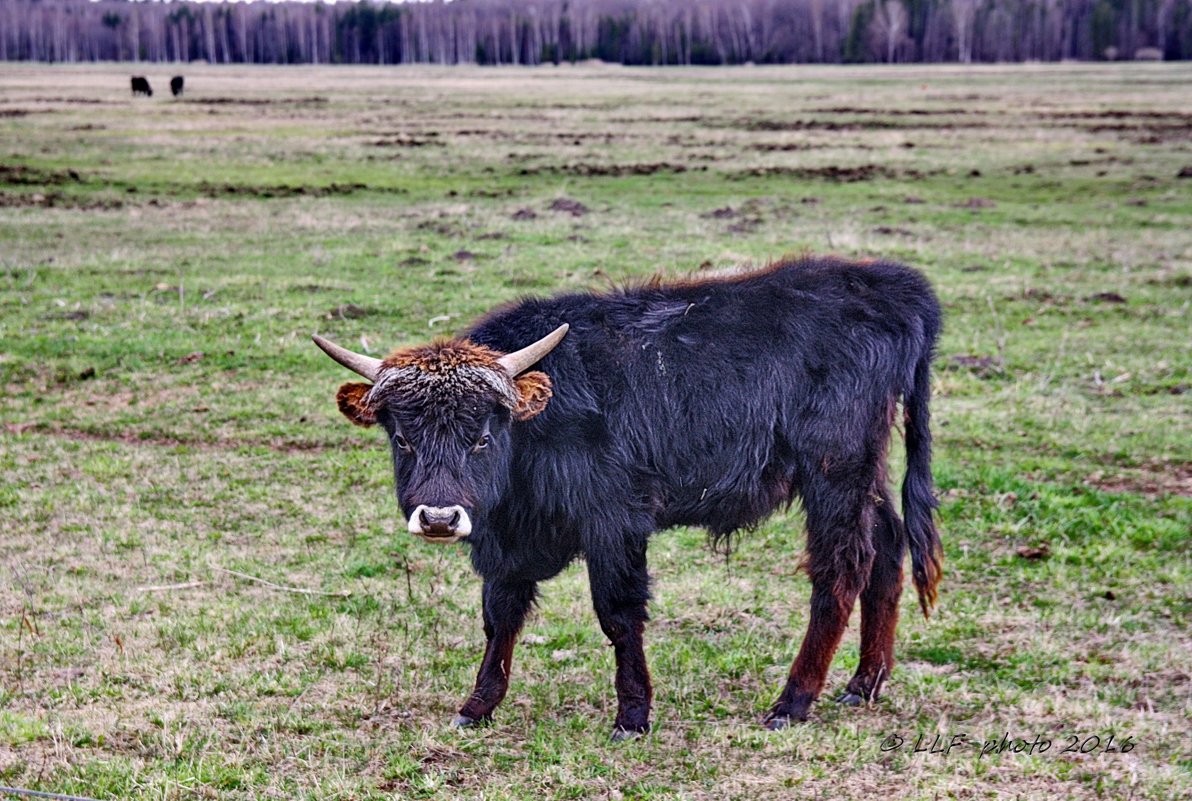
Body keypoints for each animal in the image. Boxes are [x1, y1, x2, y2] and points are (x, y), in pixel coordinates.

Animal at [314, 256, 939, 739]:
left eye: (483, 436)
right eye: (402, 437)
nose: (440, 518)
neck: (539, 423)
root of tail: (893, 288)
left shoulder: (614, 524)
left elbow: (617, 614)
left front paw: (633, 715)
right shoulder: (508, 545)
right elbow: (500, 616)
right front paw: (477, 706)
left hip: (834, 474)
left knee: (841, 568)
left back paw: (793, 701)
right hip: (865, 473)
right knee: (888, 546)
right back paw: (864, 682)